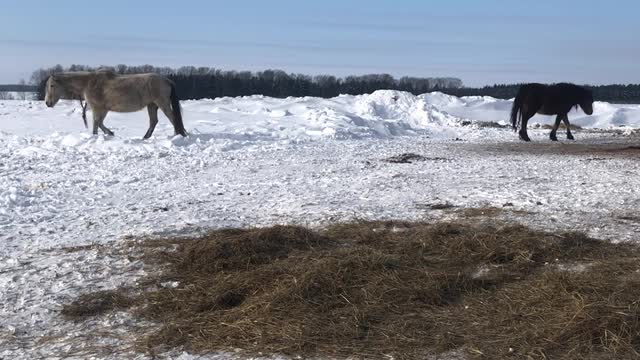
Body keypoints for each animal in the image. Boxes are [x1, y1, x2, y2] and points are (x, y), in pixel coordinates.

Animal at [43, 70, 185, 139]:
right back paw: (145, 138)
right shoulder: (103, 109)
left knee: (173, 119)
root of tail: (166, 80)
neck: (89, 83)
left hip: (162, 103)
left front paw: (100, 136)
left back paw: (178, 135)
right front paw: (110, 133)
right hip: (151, 105)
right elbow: (100, 123)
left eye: (52, 85)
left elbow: (96, 125)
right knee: (153, 122)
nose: (47, 103)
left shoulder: (97, 108)